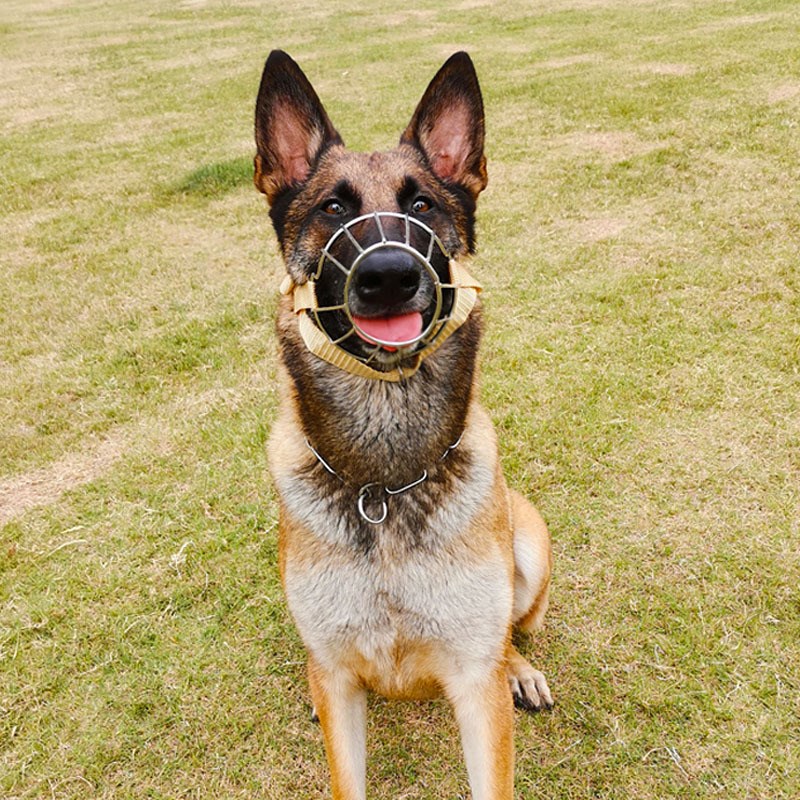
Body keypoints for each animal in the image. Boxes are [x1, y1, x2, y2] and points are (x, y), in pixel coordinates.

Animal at [253, 50, 552, 800]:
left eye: (422, 206)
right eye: (332, 209)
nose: (387, 275)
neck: (384, 486)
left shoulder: (475, 688)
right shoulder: (339, 684)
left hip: (531, 543)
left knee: (513, 633)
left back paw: (521, 669)